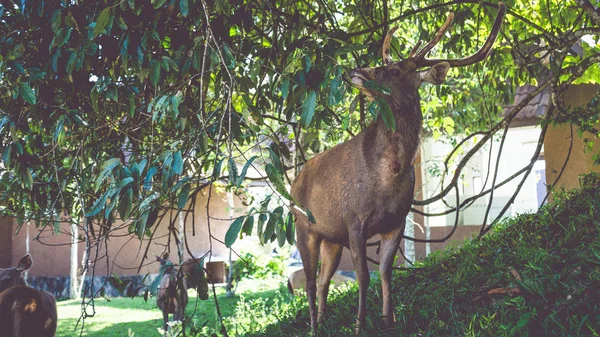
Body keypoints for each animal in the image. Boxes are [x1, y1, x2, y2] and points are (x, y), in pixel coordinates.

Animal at [288, 3, 504, 334]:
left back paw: (322, 324)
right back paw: (313, 327)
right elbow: (363, 277)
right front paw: (360, 326)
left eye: (392, 70)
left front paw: (388, 321)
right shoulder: (354, 219)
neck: (389, 178)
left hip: (330, 237)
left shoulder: (396, 222)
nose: (355, 70)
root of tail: (293, 181)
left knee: (323, 281)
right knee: (310, 281)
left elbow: (386, 274)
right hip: (302, 225)